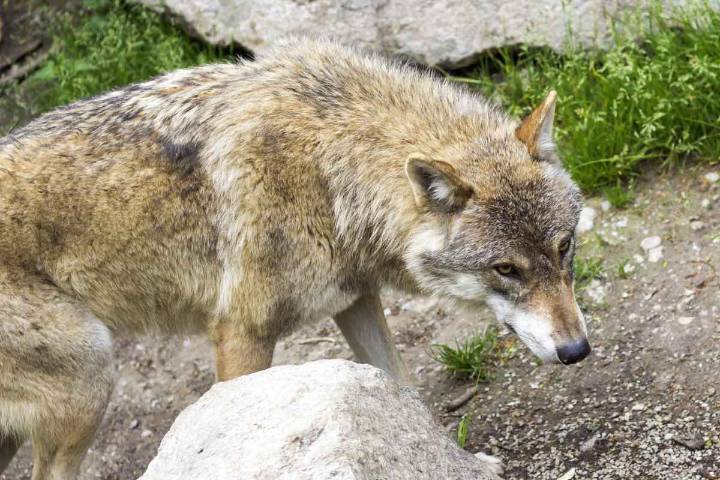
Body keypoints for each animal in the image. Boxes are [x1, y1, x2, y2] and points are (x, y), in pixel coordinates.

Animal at [0, 39, 589, 479]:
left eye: (564, 247)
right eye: (506, 269)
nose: (577, 350)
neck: (332, 173)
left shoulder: (355, 299)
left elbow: (403, 389)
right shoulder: (242, 333)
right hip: (91, 377)